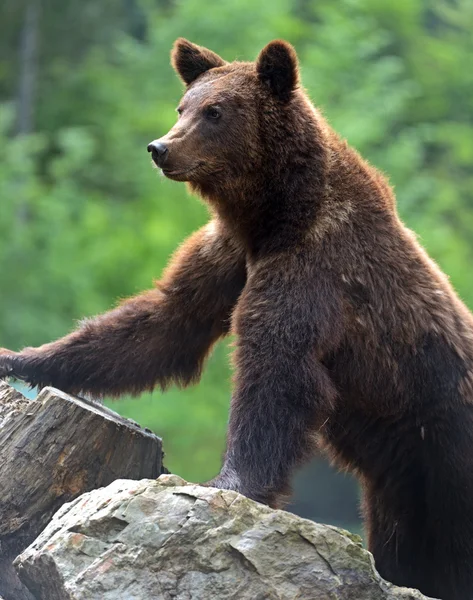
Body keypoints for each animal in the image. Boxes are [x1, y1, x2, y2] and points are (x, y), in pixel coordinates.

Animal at [0, 39, 472, 596]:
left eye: (215, 111)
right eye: (183, 106)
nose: (160, 147)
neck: (272, 214)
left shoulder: (312, 269)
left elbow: (277, 370)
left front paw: (226, 481)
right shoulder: (227, 255)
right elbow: (164, 322)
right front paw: (22, 358)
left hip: (442, 435)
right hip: (401, 476)